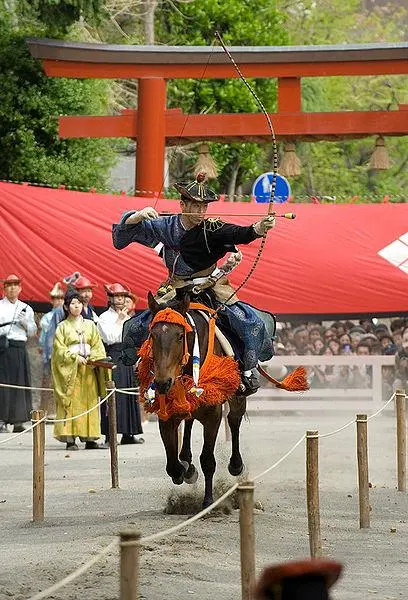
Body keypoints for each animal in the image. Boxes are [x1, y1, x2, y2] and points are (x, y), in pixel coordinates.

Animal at [143, 290, 245, 506]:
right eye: (153, 335)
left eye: (180, 336)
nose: (163, 382)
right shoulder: (167, 414)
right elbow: (172, 465)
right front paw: (185, 471)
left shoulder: (213, 416)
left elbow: (207, 459)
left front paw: (208, 501)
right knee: (189, 422)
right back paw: (187, 461)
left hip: (237, 395)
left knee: (234, 420)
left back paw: (236, 464)